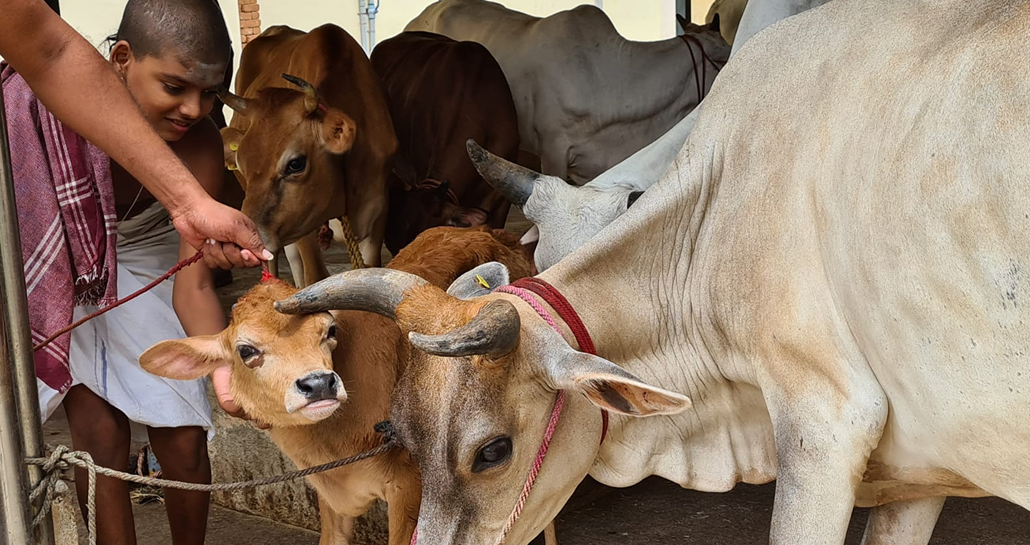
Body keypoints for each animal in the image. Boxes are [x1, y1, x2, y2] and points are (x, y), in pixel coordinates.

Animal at [219, 24, 397, 283]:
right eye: (241, 163)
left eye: (296, 164)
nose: (241, 237)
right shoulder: (303, 226)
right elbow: (315, 277)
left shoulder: (378, 212)